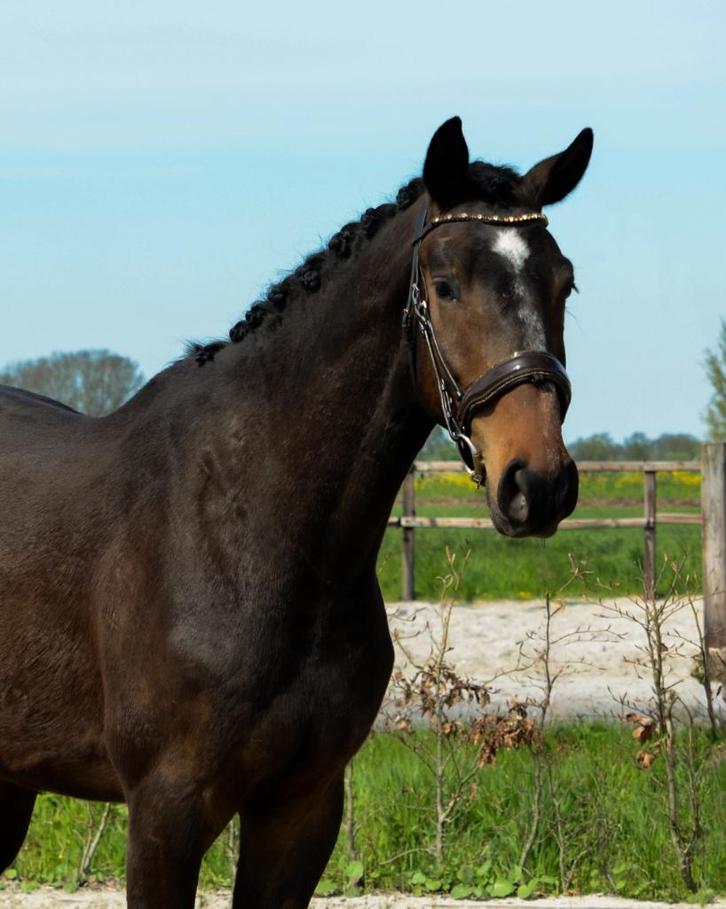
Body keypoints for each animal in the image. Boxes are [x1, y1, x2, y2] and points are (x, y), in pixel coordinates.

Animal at [0, 116, 592, 907]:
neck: (254, 530)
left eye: (564, 281)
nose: (540, 482)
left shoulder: (302, 807)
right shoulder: (164, 812)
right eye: (445, 285)